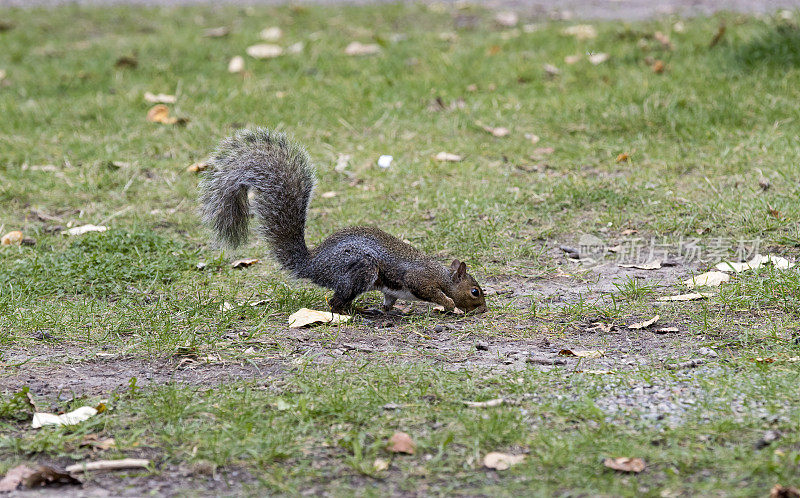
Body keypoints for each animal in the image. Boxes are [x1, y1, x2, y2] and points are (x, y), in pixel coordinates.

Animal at [200, 129, 488, 316]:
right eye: (475, 291)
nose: (484, 309)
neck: (443, 276)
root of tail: (312, 265)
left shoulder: (392, 291)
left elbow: (389, 299)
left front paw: (392, 310)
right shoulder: (420, 279)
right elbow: (433, 292)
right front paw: (449, 305)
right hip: (360, 270)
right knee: (335, 303)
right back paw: (356, 311)